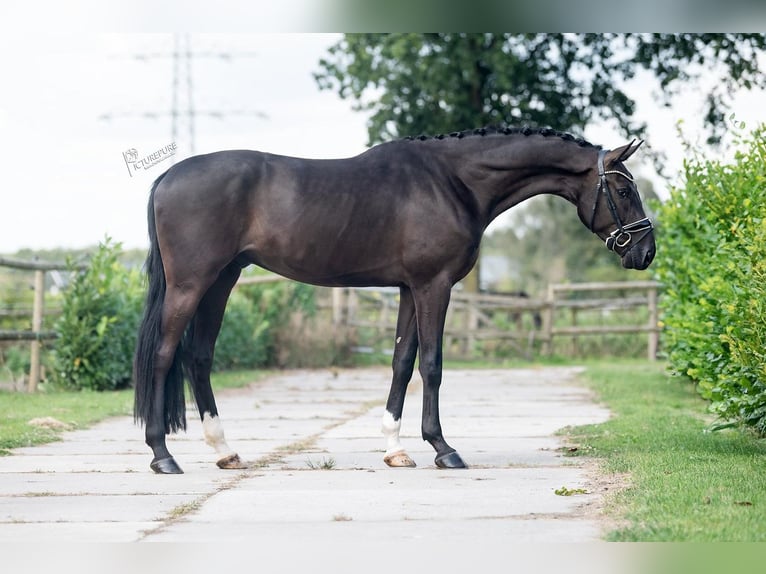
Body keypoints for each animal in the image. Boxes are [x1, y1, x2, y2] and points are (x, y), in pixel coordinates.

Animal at [132, 128, 656, 474]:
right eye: (623, 188)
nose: (646, 252)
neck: (454, 182)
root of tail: (167, 177)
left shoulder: (408, 288)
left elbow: (402, 362)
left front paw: (395, 449)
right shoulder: (433, 286)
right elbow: (432, 365)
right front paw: (443, 448)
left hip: (222, 280)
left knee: (199, 357)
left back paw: (224, 451)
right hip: (192, 284)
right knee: (163, 355)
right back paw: (163, 456)